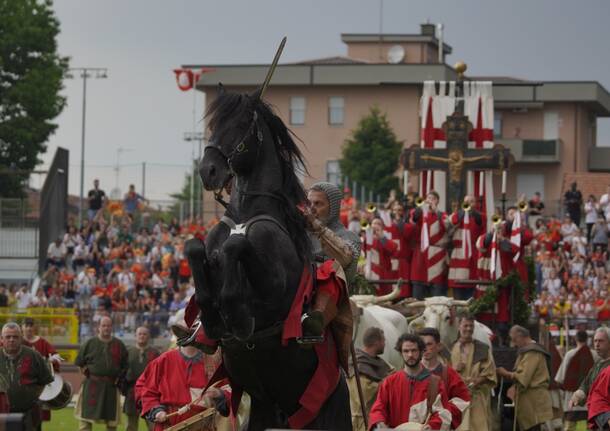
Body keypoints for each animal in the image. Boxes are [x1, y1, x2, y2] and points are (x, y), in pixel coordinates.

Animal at [184, 86, 346, 430]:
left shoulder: (274, 289)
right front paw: (211, 318)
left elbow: (236, 247)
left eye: (241, 122)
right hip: (263, 406)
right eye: (214, 124)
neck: (248, 213)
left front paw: (238, 317)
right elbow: (193, 248)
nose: (208, 170)